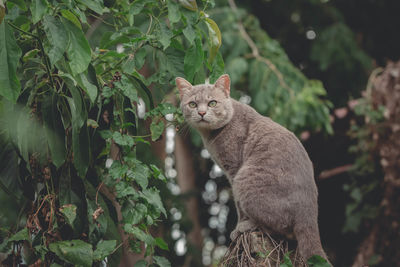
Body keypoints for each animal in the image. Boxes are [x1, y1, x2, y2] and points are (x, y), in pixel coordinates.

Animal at [175, 74, 328, 262]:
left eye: (212, 103)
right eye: (192, 104)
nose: (202, 113)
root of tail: (310, 214)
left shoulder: (233, 170)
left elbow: (238, 206)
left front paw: (238, 226)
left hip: (245, 180)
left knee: (278, 226)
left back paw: (246, 226)